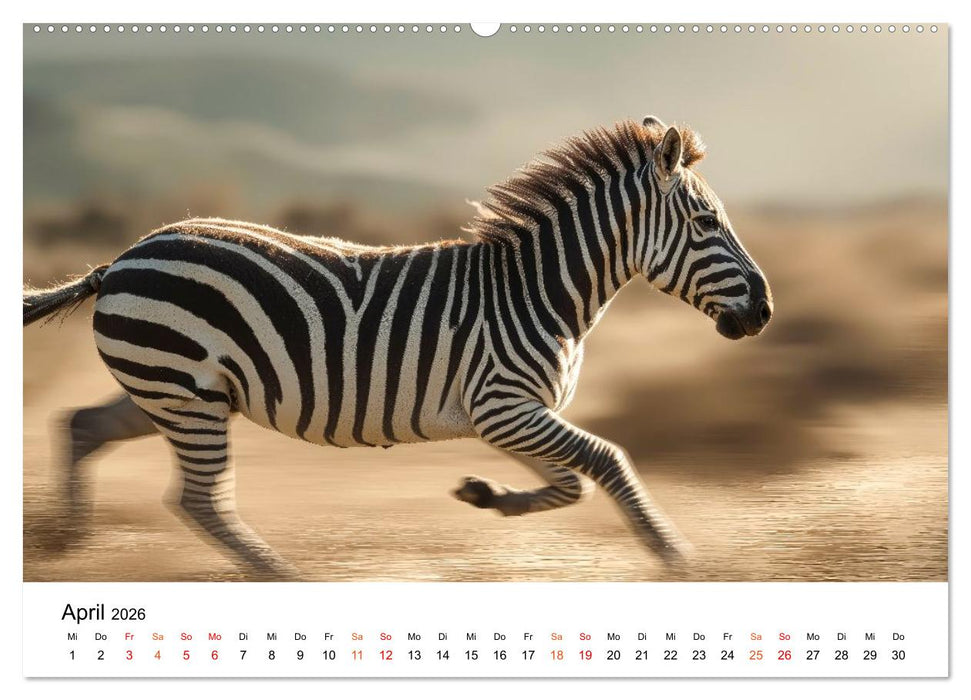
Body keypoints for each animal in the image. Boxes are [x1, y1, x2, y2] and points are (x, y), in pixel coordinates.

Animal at [23, 116, 772, 578]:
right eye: (707, 222)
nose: (764, 312)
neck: (538, 291)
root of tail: (123, 258)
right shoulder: (504, 405)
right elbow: (608, 461)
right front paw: (674, 557)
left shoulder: (505, 416)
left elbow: (572, 483)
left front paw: (487, 496)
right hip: (182, 393)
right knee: (200, 500)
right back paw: (281, 577)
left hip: (169, 390)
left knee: (83, 425)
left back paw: (68, 543)